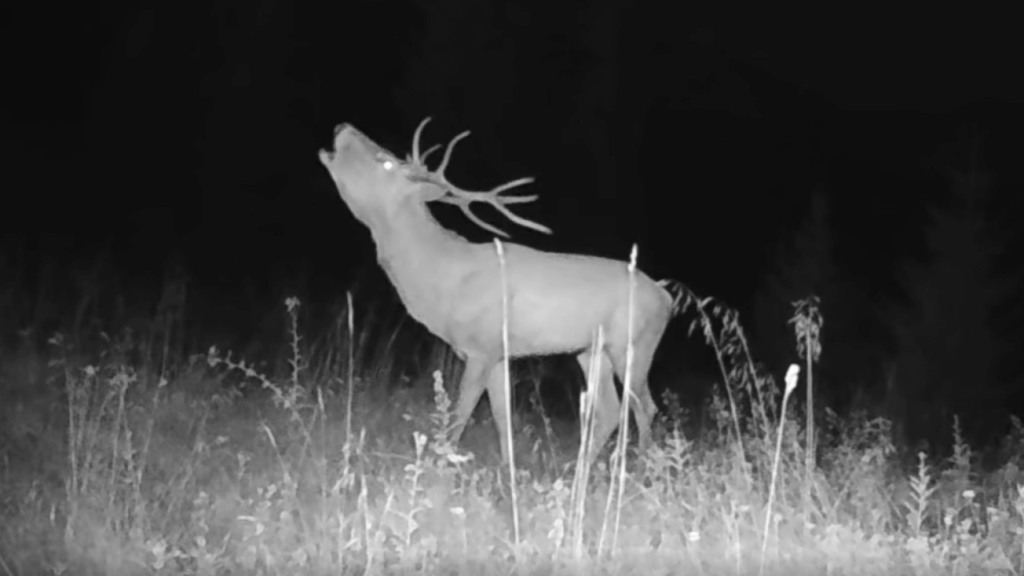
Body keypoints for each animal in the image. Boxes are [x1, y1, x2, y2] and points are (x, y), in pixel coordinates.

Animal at [319, 118, 683, 465]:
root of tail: (666, 297)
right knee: (610, 410)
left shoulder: (482, 347)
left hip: (634, 344)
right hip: (592, 351)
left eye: (386, 162)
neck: (443, 277)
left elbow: (459, 416)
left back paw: (640, 469)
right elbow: (501, 418)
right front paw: (508, 473)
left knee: (644, 406)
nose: (342, 127)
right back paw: (580, 468)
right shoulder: (495, 354)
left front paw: (440, 468)